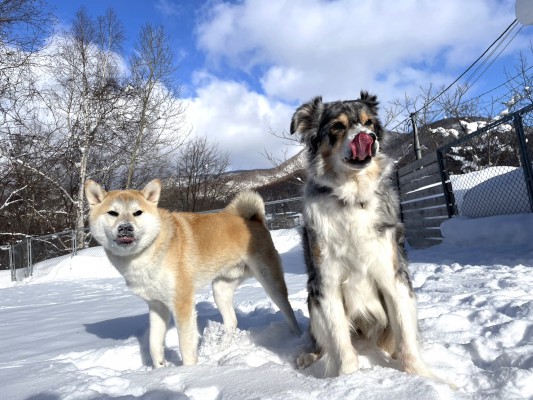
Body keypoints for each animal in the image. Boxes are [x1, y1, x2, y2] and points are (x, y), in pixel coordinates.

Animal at [83, 180, 300, 368]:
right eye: (113, 213)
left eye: (137, 212)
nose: (125, 228)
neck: (148, 251)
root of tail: (254, 219)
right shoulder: (157, 306)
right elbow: (154, 345)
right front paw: (160, 369)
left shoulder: (182, 302)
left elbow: (185, 346)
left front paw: (190, 372)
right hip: (220, 289)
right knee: (232, 321)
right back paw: (224, 347)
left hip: (270, 282)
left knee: (288, 311)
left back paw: (296, 337)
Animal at [290, 93, 432, 378]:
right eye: (338, 126)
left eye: (369, 123)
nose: (368, 137)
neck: (351, 199)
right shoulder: (327, 282)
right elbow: (340, 341)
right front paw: (349, 378)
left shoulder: (392, 275)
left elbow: (406, 335)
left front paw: (422, 377)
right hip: (313, 300)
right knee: (323, 342)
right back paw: (309, 357)